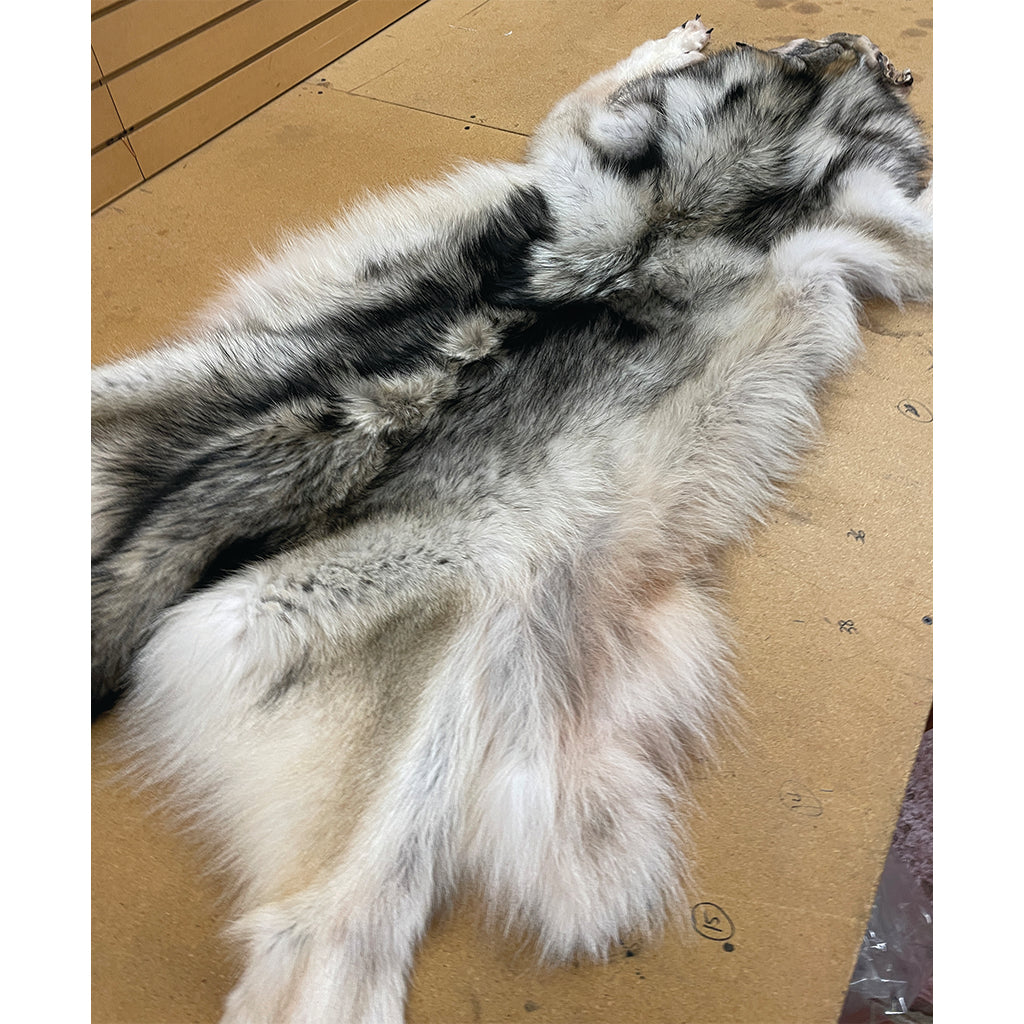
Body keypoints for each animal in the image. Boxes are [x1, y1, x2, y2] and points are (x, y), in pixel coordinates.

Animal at [92, 14, 931, 1023]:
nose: (871, 51)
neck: (766, 144)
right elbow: (600, 85)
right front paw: (677, 37)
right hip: (410, 760)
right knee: (316, 953)